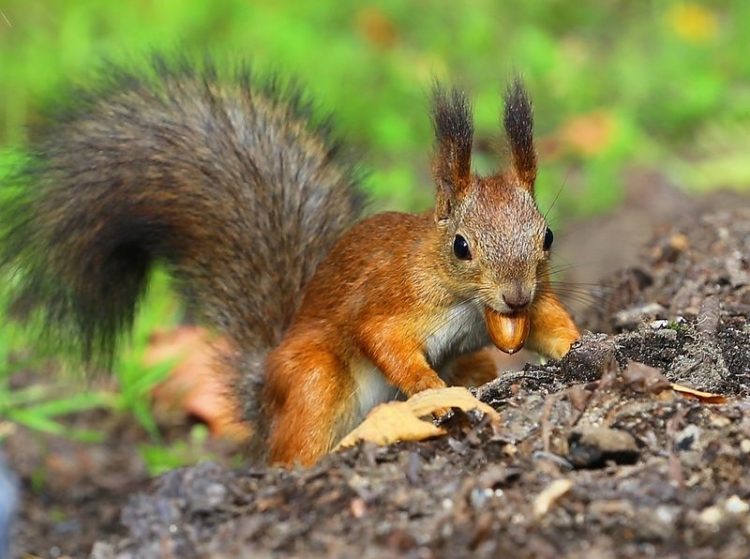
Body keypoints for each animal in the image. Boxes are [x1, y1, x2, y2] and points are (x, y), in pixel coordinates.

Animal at [0, 58, 580, 468]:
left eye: (548, 236)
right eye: (462, 246)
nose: (514, 296)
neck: (467, 303)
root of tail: (263, 396)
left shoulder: (531, 303)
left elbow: (550, 323)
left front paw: (580, 344)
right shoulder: (393, 299)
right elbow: (384, 340)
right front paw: (432, 392)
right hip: (313, 381)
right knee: (293, 449)